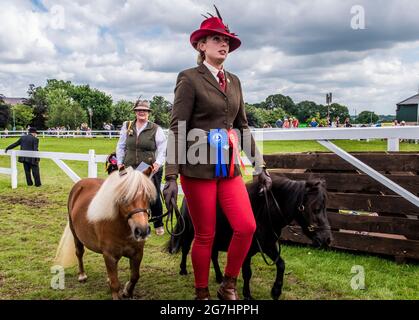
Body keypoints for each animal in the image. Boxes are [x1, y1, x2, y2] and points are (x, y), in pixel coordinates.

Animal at [54, 168, 156, 300]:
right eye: (124, 197)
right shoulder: (109, 256)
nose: (142, 230)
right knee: (79, 253)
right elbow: (115, 284)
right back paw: (82, 275)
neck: (122, 229)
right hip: (75, 234)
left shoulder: (137, 254)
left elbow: (135, 276)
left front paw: (127, 292)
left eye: (147, 196)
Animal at [166, 175, 334, 300]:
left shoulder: (269, 246)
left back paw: (219, 277)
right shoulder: (246, 250)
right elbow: (247, 272)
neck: (263, 214)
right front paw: (247, 295)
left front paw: (276, 291)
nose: (327, 239)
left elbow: (281, 264)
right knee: (185, 249)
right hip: (189, 232)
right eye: (316, 208)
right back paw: (183, 270)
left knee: (213, 255)